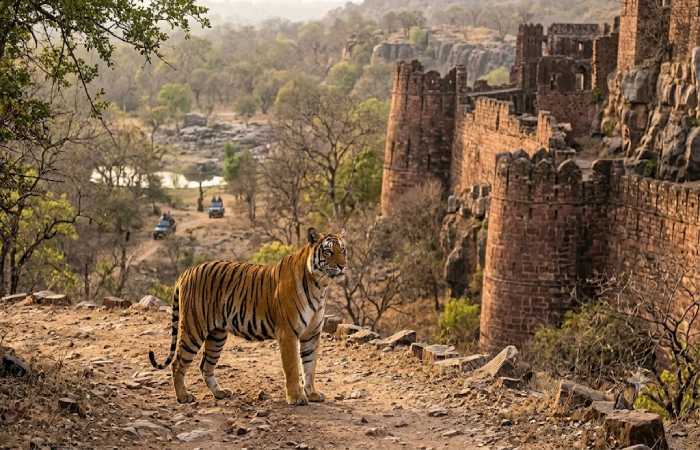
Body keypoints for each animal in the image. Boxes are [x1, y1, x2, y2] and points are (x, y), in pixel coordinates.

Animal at [148, 228, 347, 405]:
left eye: (343, 250)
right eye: (328, 251)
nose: (342, 266)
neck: (319, 286)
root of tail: (187, 271)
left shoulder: (311, 334)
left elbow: (310, 366)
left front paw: (312, 394)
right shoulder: (288, 333)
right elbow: (292, 367)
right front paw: (296, 398)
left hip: (217, 335)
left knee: (205, 365)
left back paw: (220, 393)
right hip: (193, 328)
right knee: (178, 363)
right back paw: (183, 397)